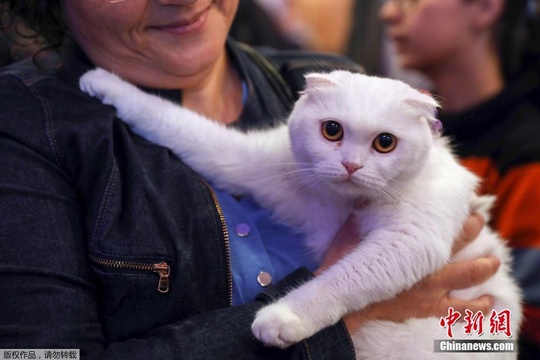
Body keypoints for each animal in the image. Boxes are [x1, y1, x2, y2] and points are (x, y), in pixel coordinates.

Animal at [81, 69, 524, 358]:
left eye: (385, 142)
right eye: (332, 130)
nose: (351, 165)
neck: (341, 203)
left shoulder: (411, 239)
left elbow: (339, 281)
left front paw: (282, 318)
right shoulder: (242, 158)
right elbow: (174, 121)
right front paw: (104, 83)